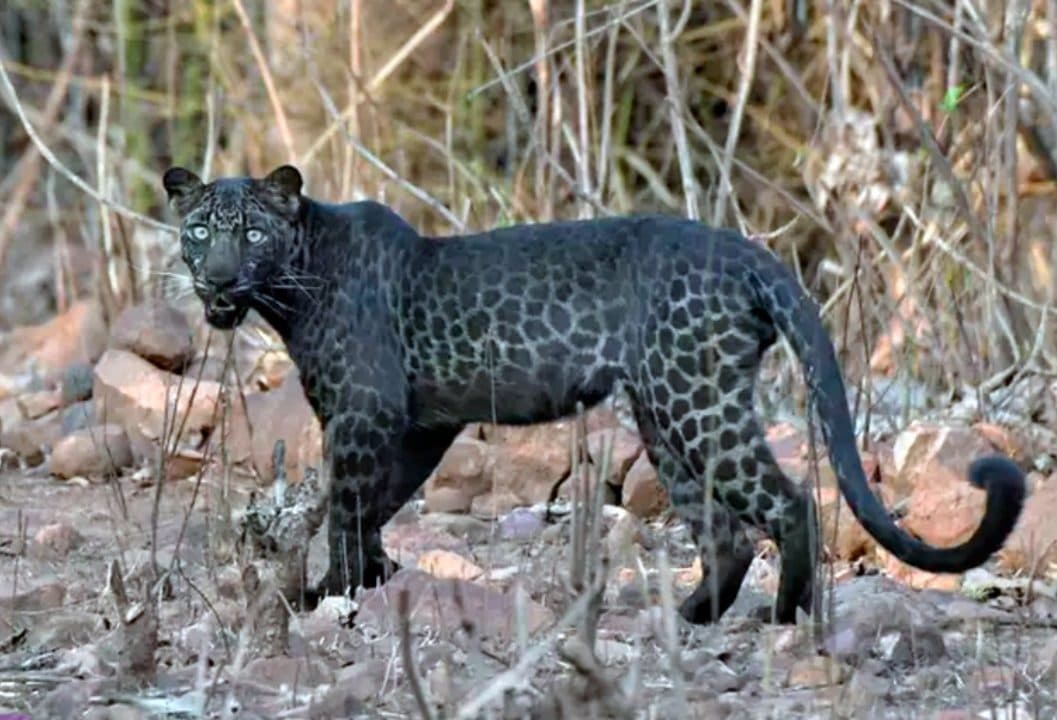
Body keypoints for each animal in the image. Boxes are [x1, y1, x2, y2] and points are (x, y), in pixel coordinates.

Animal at [162, 164, 1026, 624]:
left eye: (252, 232)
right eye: (199, 229)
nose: (217, 278)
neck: (293, 287)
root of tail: (748, 252)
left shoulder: (365, 414)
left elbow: (345, 505)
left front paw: (331, 592)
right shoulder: (418, 424)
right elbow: (374, 503)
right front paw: (369, 580)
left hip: (694, 401)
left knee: (787, 503)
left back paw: (784, 618)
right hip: (665, 414)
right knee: (724, 531)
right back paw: (687, 618)